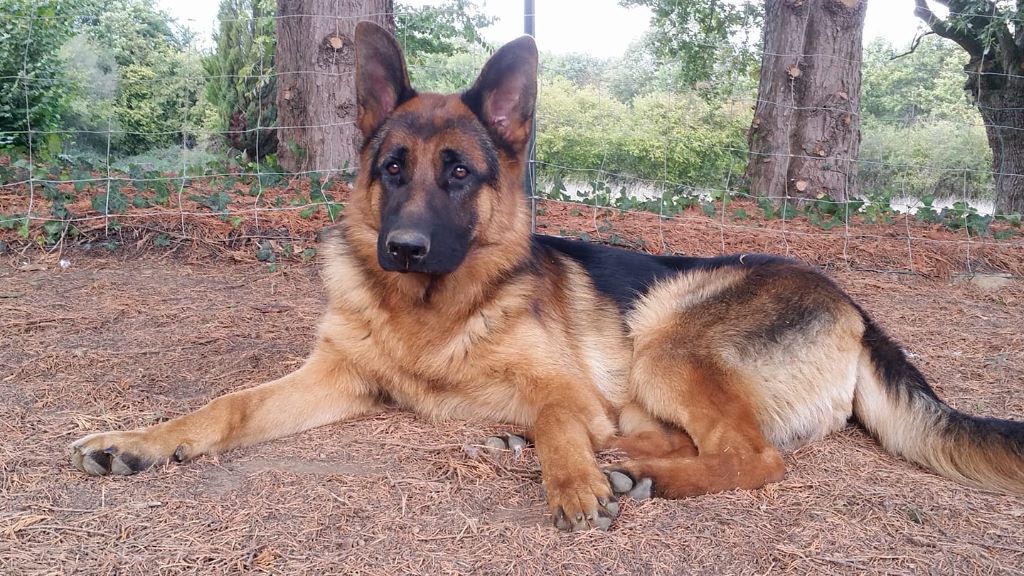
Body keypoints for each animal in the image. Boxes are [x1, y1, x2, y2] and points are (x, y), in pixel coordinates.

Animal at [72, 24, 1024, 532]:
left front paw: (569, 478)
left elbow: (564, 417)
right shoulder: (334, 379)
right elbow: (225, 407)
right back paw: (594, 456)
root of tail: (853, 305)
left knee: (752, 456)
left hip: (665, 334)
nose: (403, 248)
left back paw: (630, 474)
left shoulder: (564, 386)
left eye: (459, 173)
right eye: (390, 169)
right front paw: (143, 438)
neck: (427, 313)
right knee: (681, 437)